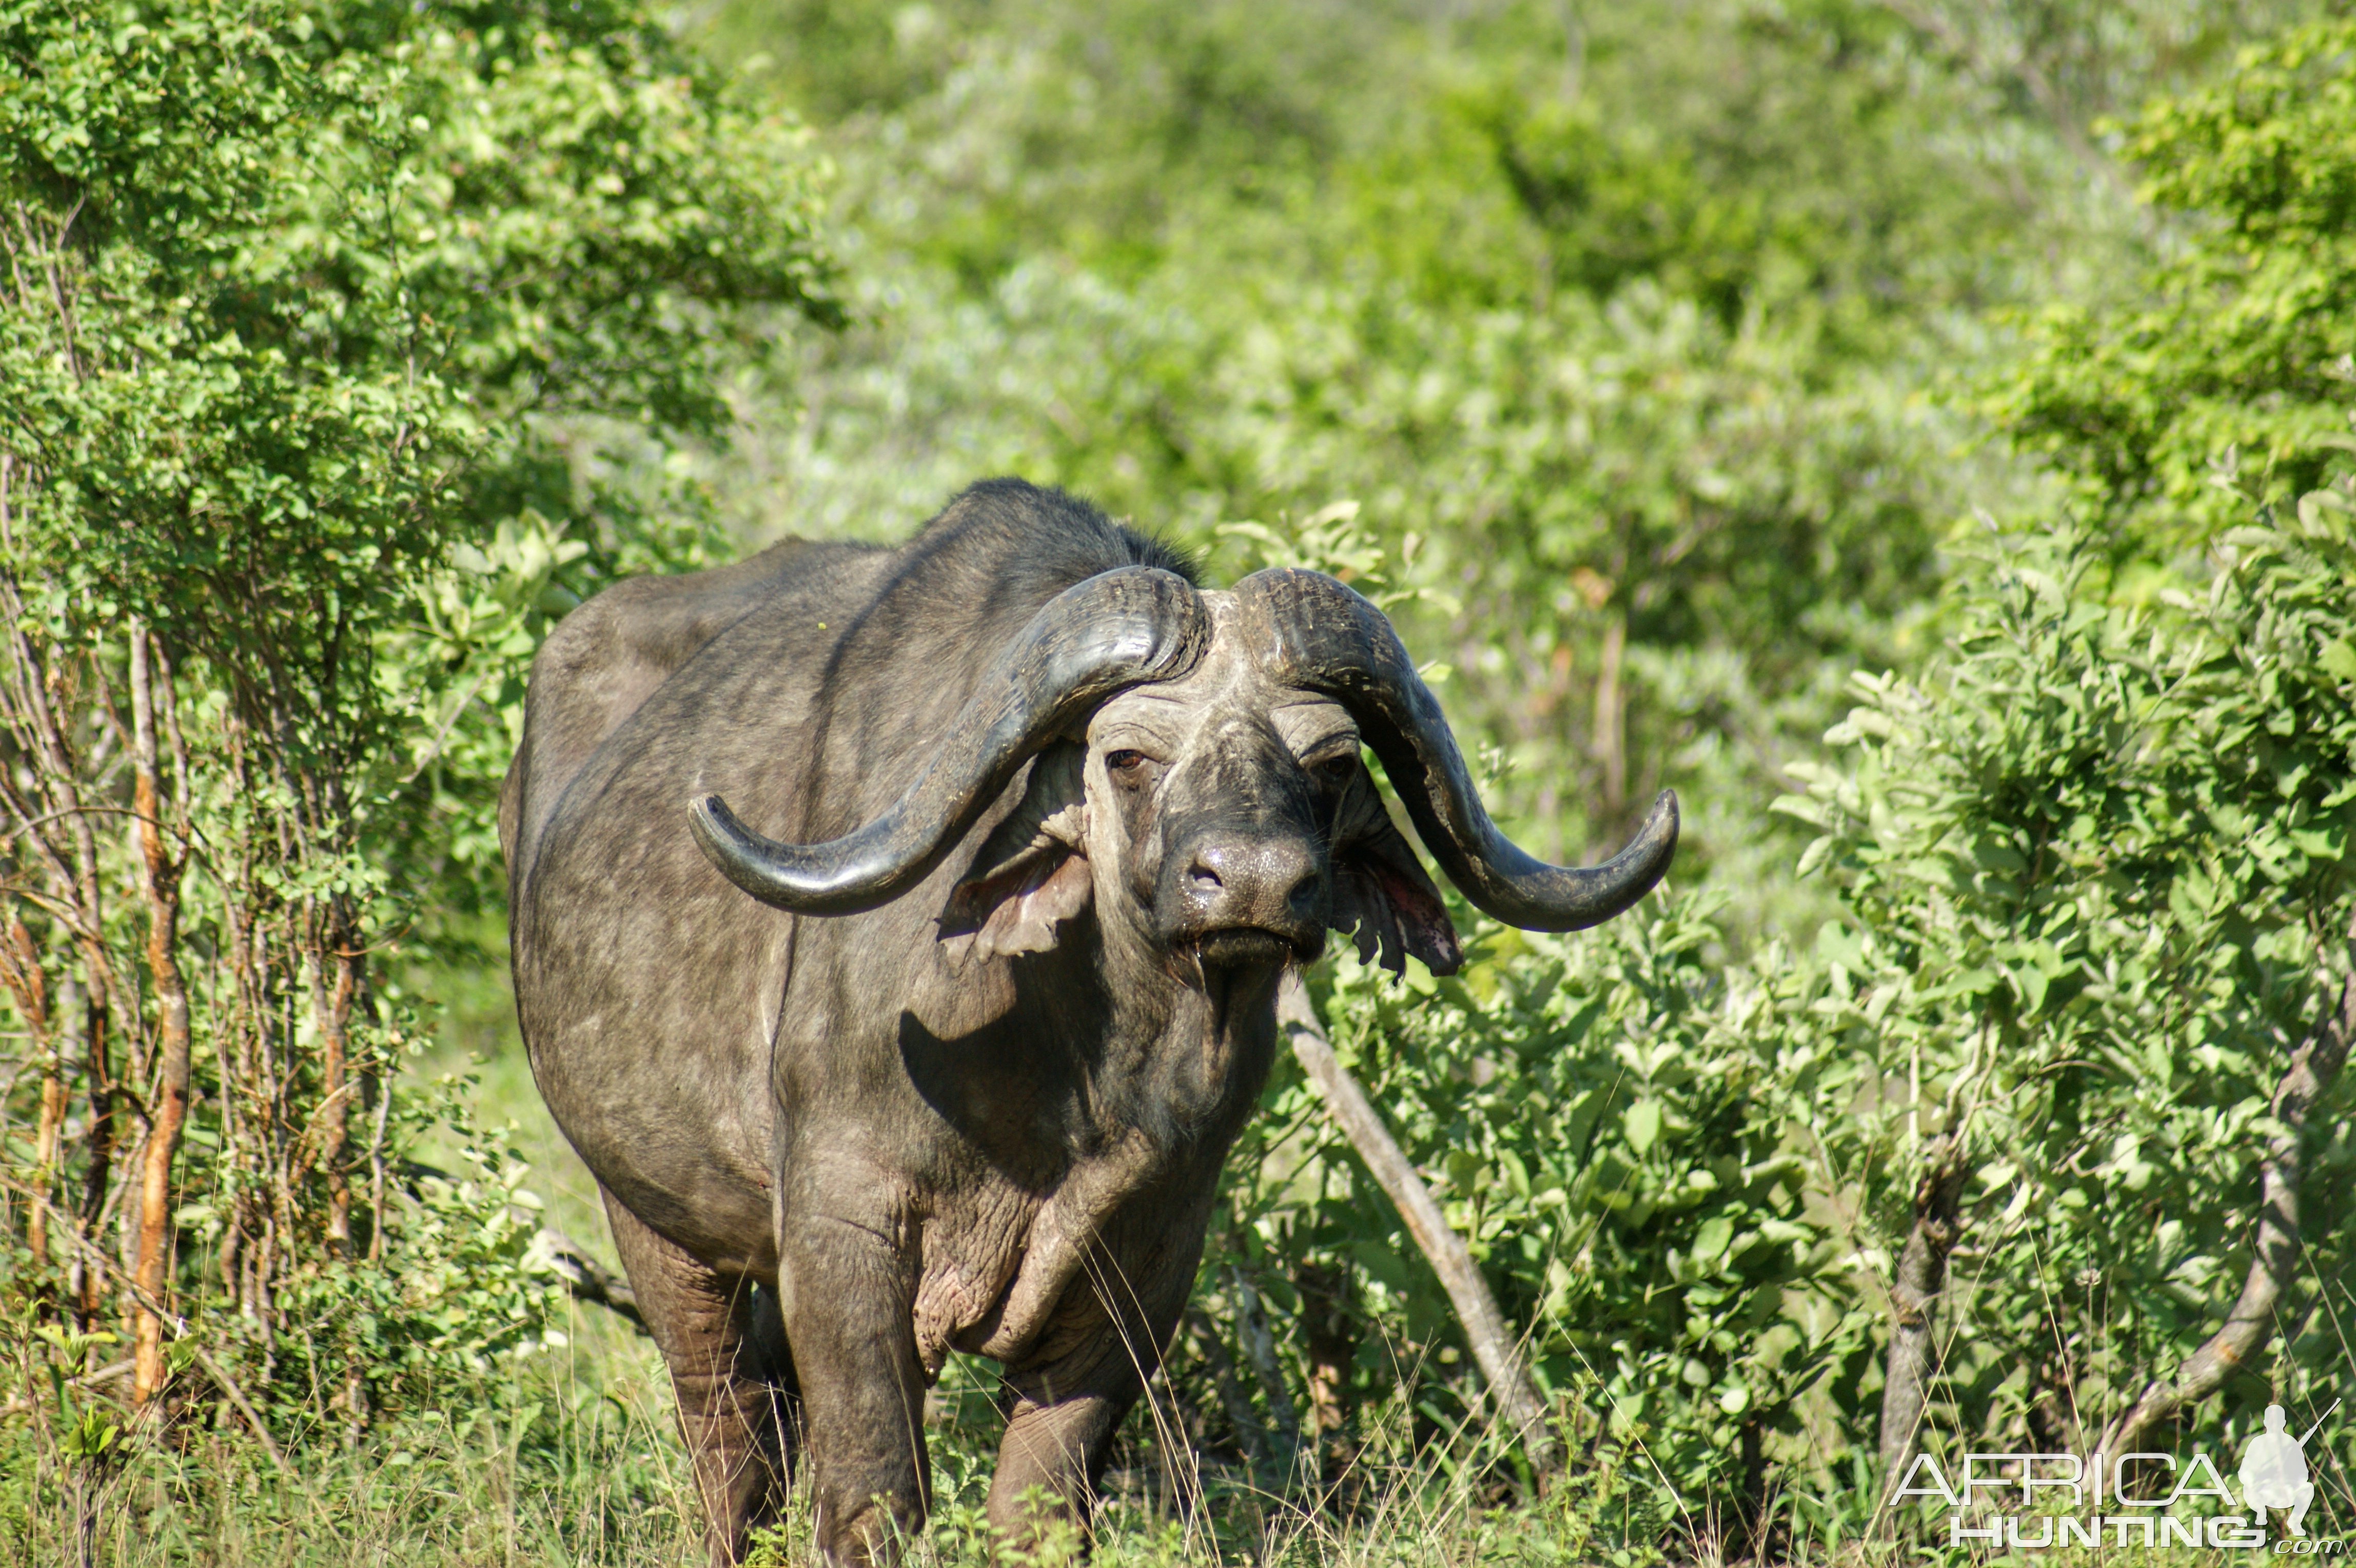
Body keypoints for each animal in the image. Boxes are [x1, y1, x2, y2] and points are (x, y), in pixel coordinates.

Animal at [504, 480, 1668, 1563]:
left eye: (1332, 764)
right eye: (1127, 758)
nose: (1253, 882)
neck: (1070, 1080)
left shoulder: (1145, 1265)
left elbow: (1041, 1506)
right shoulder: (843, 1234)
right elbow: (876, 1496)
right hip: (653, 1222)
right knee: (731, 1441)